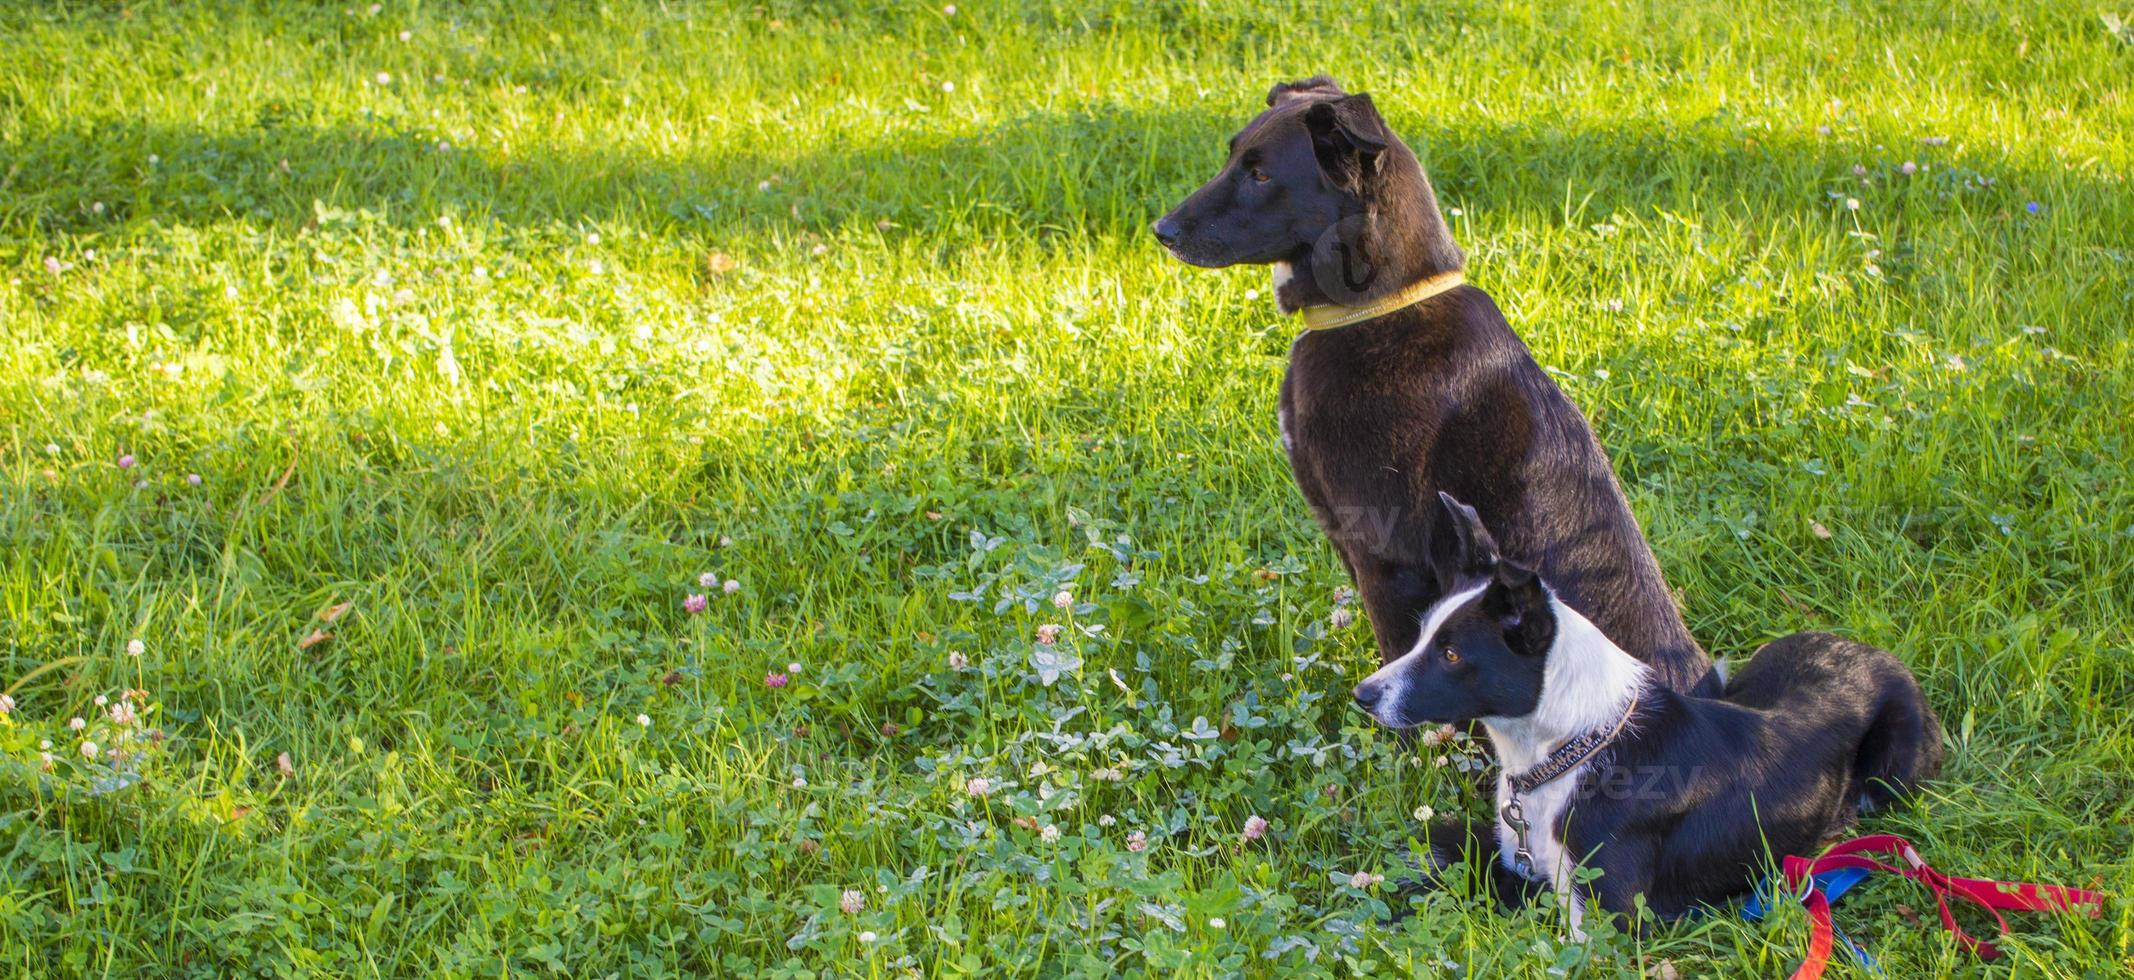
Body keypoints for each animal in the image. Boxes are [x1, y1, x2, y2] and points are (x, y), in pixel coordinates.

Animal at [1357, 495, 1946, 930]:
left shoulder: (1604, 921)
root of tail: (1872, 650)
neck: (1571, 747)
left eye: (1452, 655)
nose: (1364, 695)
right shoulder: (1517, 857)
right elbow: (1446, 847)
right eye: (1422, 634)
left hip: (1894, 769)